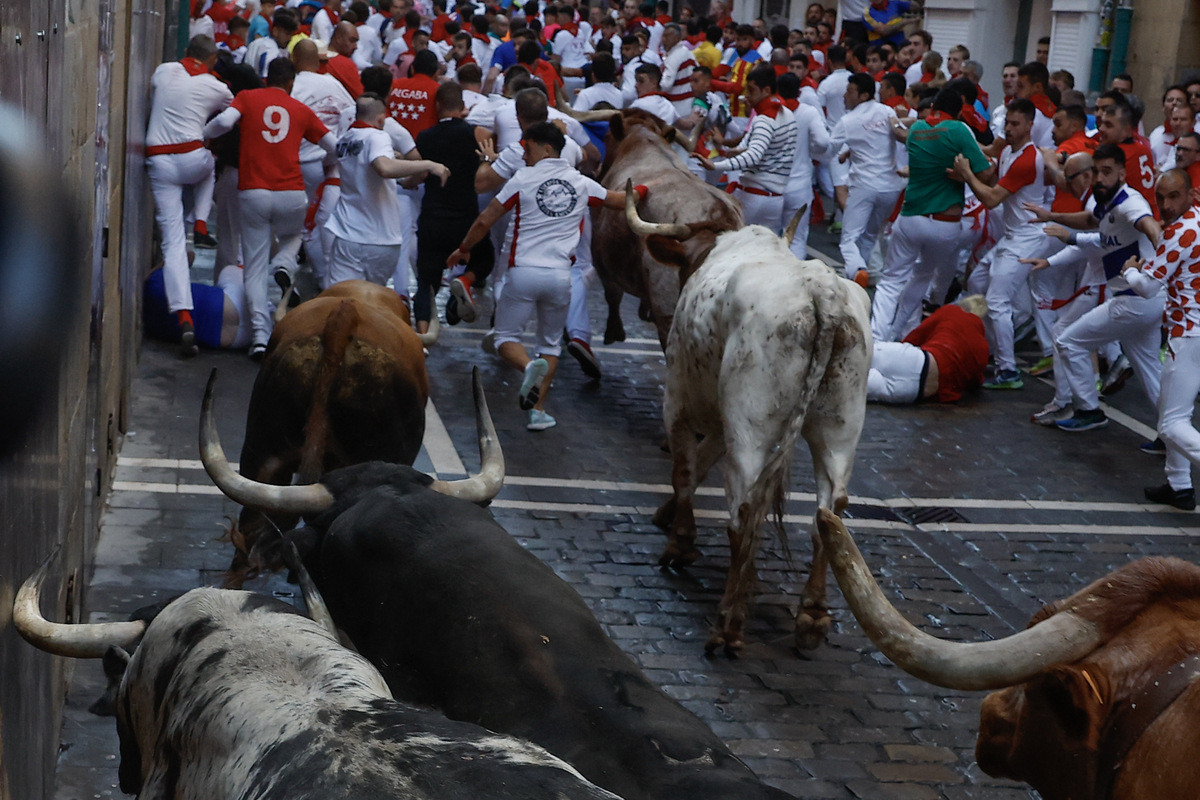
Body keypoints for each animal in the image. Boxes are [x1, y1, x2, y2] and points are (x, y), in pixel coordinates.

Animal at [648, 214, 873, 657]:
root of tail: (821, 292)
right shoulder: (721, 423)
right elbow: (699, 465)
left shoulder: (680, 401)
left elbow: (684, 471)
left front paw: (680, 540)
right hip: (840, 425)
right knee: (830, 510)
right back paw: (812, 615)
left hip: (750, 424)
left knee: (746, 508)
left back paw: (729, 624)